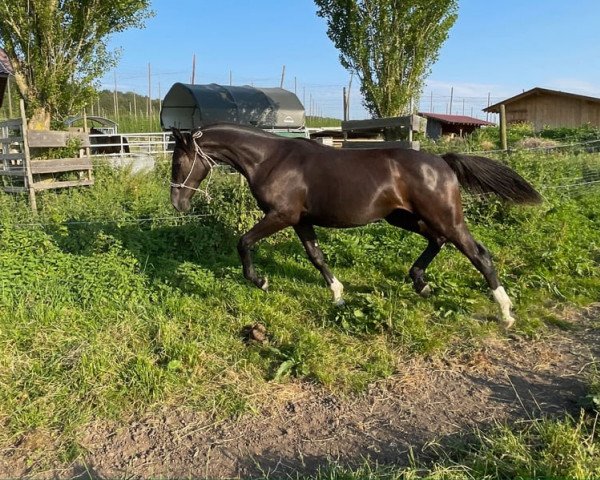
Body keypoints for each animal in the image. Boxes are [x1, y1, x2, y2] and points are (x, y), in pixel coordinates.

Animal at [170, 123, 544, 330]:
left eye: (178, 161)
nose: (178, 203)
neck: (271, 160)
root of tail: (442, 161)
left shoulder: (282, 216)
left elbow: (243, 242)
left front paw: (260, 281)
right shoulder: (301, 221)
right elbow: (316, 257)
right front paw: (337, 295)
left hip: (445, 217)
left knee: (479, 254)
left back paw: (506, 313)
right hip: (404, 217)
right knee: (437, 240)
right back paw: (421, 284)